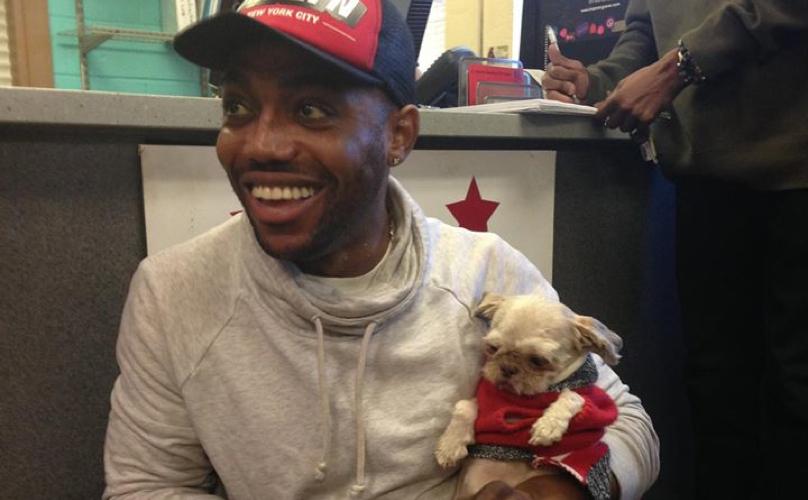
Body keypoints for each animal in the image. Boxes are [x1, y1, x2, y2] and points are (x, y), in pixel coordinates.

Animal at [434, 293, 623, 500]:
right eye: (492, 348)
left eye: (538, 360)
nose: (507, 367)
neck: (522, 397)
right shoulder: (486, 398)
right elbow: (464, 406)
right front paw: (451, 445)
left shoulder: (594, 400)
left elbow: (573, 396)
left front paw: (548, 425)